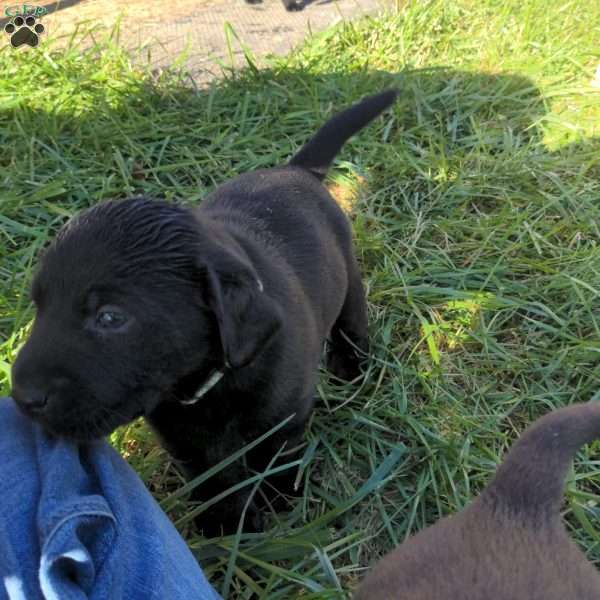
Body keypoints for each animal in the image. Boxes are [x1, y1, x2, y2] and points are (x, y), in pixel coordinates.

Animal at [11, 90, 396, 536]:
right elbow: (215, 480)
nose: (21, 397)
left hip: (348, 274)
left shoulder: (283, 417)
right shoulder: (184, 440)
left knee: (351, 322)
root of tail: (295, 170)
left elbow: (275, 459)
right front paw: (227, 525)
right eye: (39, 305)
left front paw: (279, 499)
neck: (206, 386)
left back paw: (353, 367)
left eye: (110, 317)